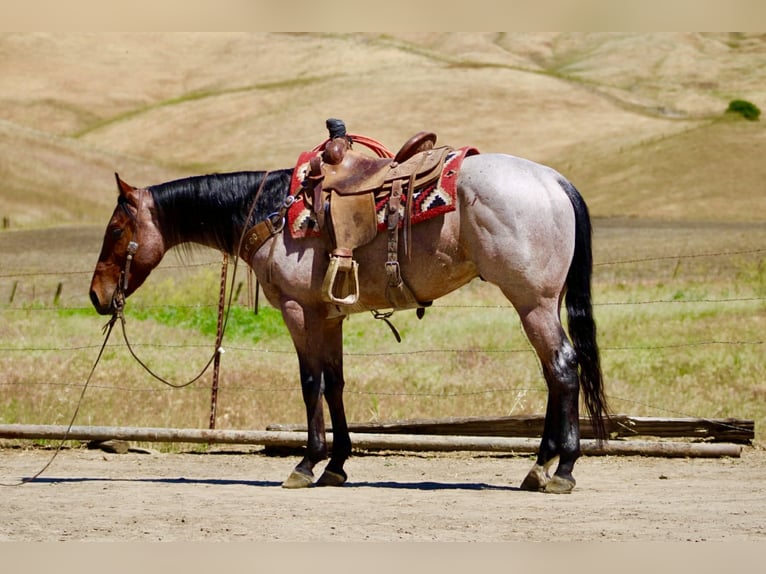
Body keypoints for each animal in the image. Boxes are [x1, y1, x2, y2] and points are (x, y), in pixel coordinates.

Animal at [89, 148, 608, 494]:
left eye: (115, 229)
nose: (96, 296)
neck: (273, 210)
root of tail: (554, 181)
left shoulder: (299, 311)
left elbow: (309, 382)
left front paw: (306, 464)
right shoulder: (329, 316)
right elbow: (335, 383)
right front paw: (336, 465)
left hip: (532, 301)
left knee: (562, 367)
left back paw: (562, 470)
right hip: (541, 302)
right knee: (553, 372)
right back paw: (539, 467)